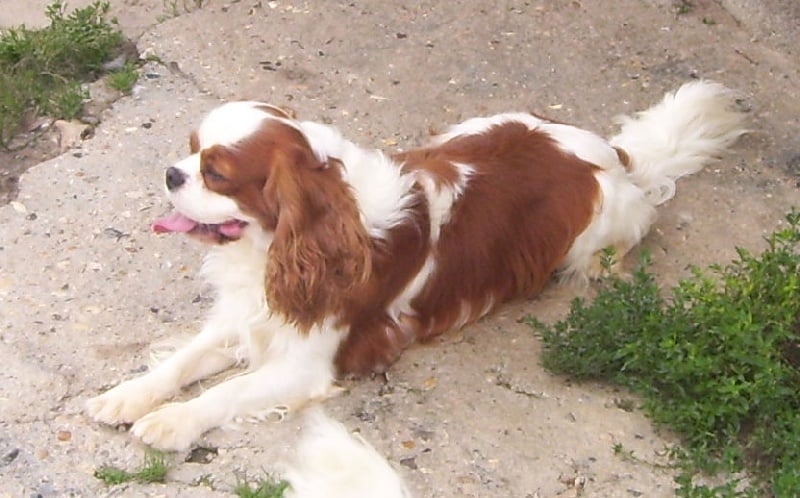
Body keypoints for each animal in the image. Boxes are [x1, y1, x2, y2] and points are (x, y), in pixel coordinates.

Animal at [87, 81, 745, 453]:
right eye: (190, 150)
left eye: (217, 172)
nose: (171, 173)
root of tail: (605, 152)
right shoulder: (252, 314)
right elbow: (183, 361)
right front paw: (127, 396)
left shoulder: (305, 364)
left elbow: (226, 392)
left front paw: (173, 423)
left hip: (602, 224)